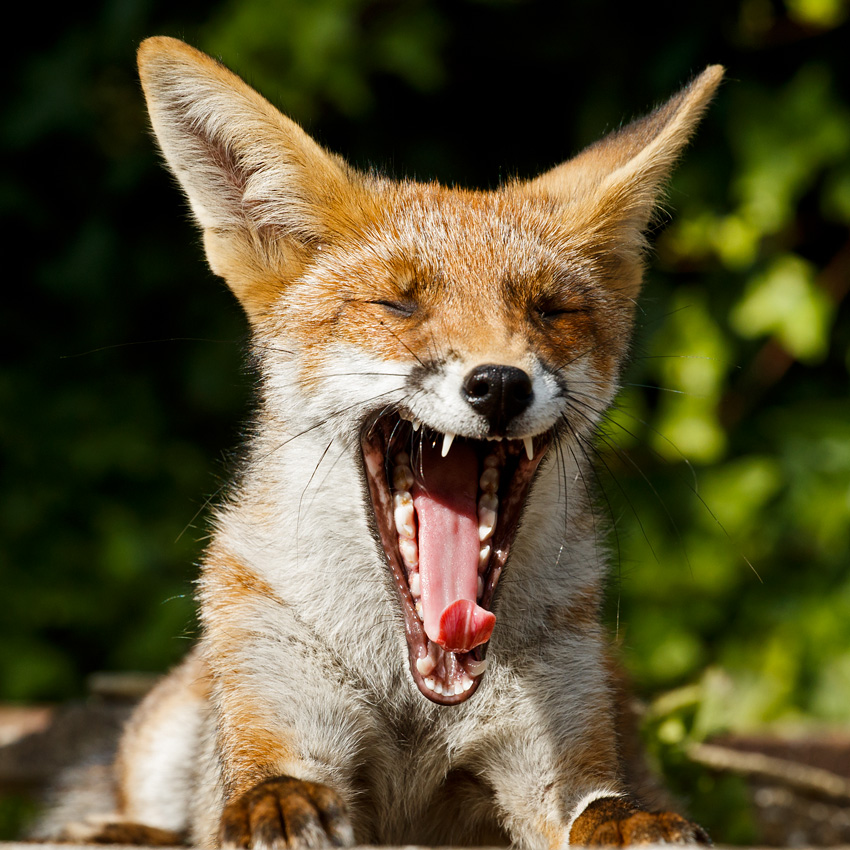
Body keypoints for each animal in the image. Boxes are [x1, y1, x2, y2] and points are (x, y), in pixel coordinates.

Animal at [40, 37, 725, 849]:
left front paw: (635, 821)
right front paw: (276, 806)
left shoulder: (554, 766)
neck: (417, 698)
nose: (501, 384)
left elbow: (604, 805)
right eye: (398, 304)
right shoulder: (283, 715)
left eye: (551, 310)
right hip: (171, 730)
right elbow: (262, 788)